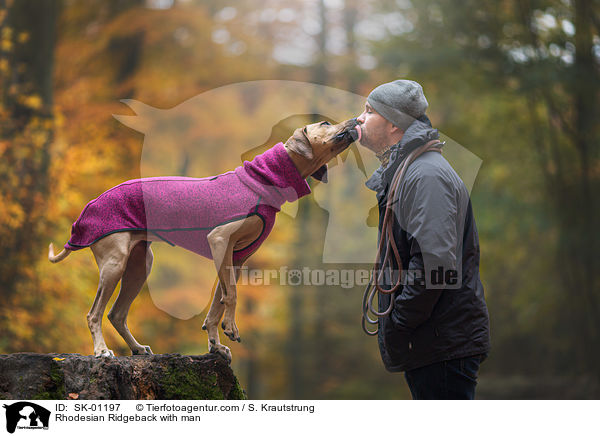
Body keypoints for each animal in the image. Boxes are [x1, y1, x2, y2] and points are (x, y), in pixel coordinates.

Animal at [49, 117, 358, 362]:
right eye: (326, 123)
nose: (355, 120)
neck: (263, 181)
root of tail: (86, 211)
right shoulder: (219, 240)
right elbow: (231, 296)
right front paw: (230, 329)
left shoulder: (235, 258)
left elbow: (218, 304)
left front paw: (215, 346)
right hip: (115, 263)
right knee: (94, 313)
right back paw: (101, 351)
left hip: (140, 265)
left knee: (116, 314)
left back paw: (137, 348)